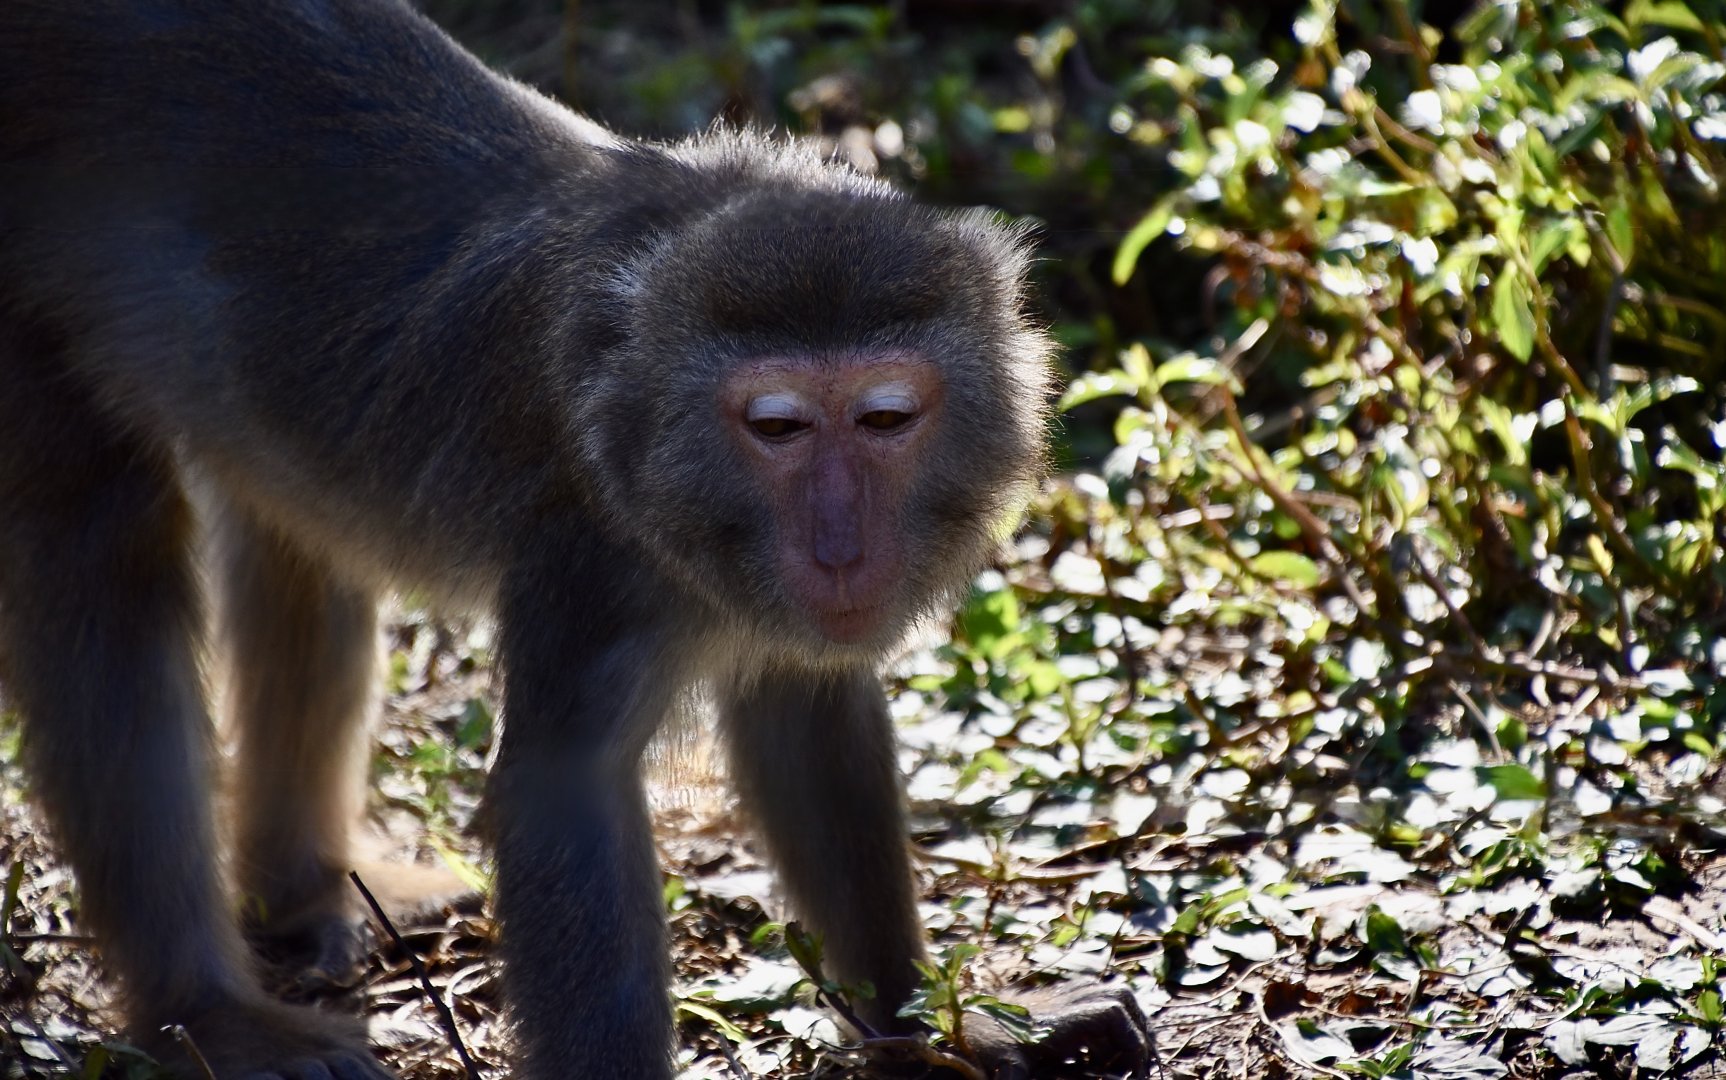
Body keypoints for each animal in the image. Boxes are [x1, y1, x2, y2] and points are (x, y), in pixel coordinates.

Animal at [0, 1, 1151, 1077]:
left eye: (883, 419)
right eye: (778, 427)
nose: (838, 548)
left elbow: (805, 708)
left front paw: (919, 1019)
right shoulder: (591, 546)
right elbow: (567, 791)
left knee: (288, 519)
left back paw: (299, 888)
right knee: (101, 544)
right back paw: (205, 1011)